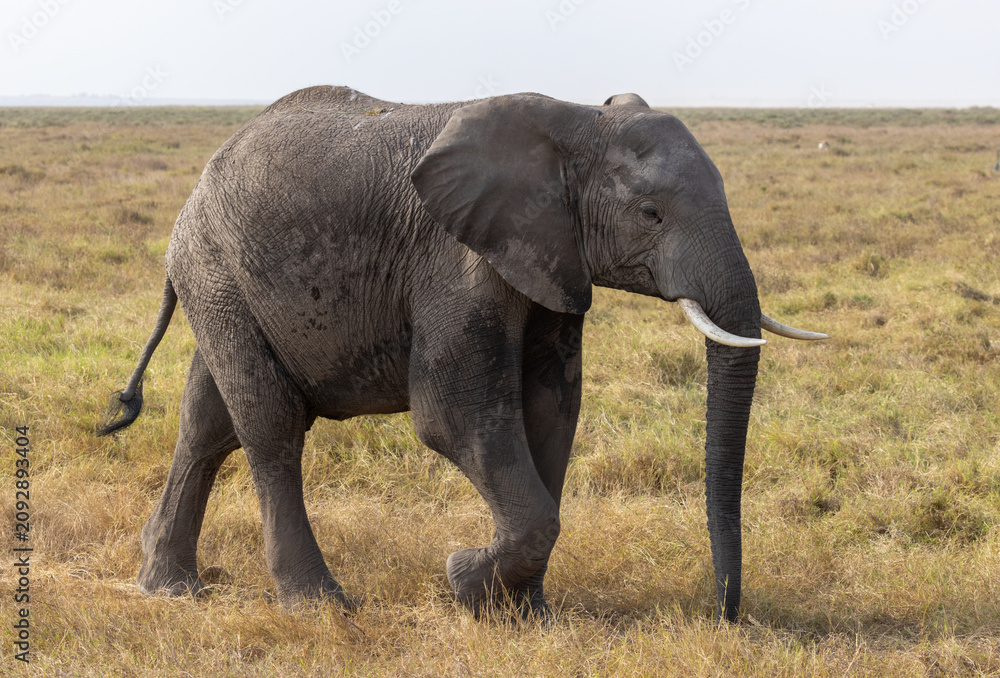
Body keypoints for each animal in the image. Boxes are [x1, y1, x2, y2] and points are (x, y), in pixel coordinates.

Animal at [97, 85, 826, 622]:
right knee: (270, 425)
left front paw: (525, 614)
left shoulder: (548, 257)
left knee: (207, 421)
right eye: (650, 214)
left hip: (226, 286)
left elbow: (550, 412)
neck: (575, 122)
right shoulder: (458, 258)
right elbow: (455, 416)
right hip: (215, 267)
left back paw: (169, 587)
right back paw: (319, 607)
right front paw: (464, 578)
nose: (726, 615)